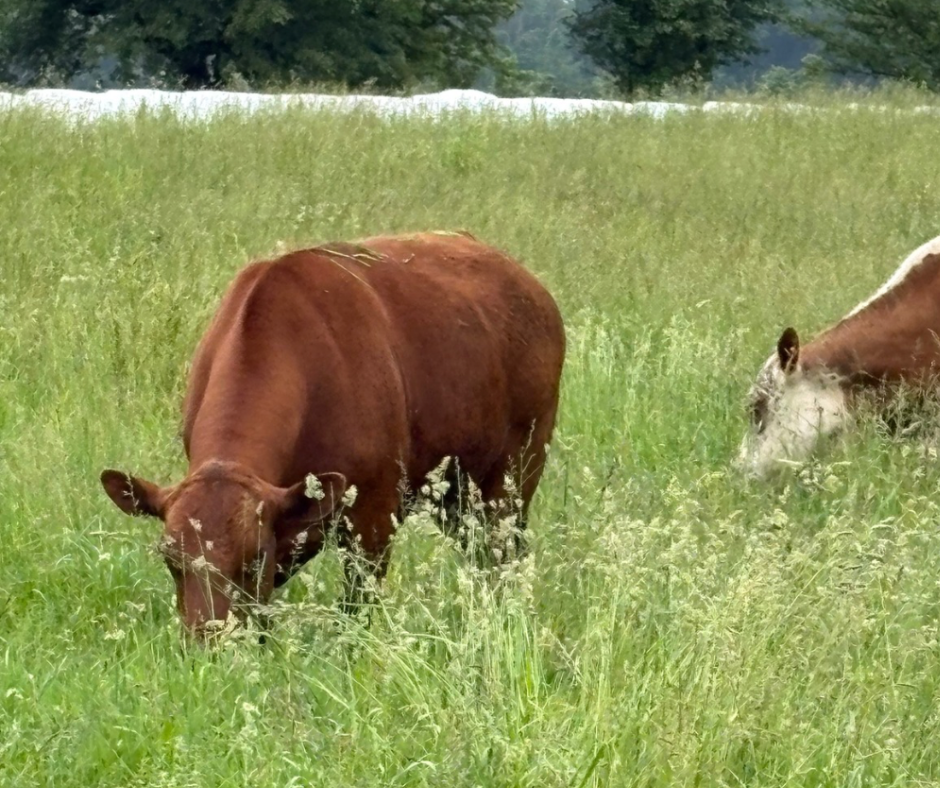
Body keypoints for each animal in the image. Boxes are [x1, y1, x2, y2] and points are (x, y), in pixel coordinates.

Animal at [100, 231, 566, 639]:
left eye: (254, 557)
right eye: (170, 558)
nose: (207, 643)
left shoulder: (374, 514)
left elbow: (356, 611)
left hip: (513, 478)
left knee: (502, 559)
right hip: (456, 494)